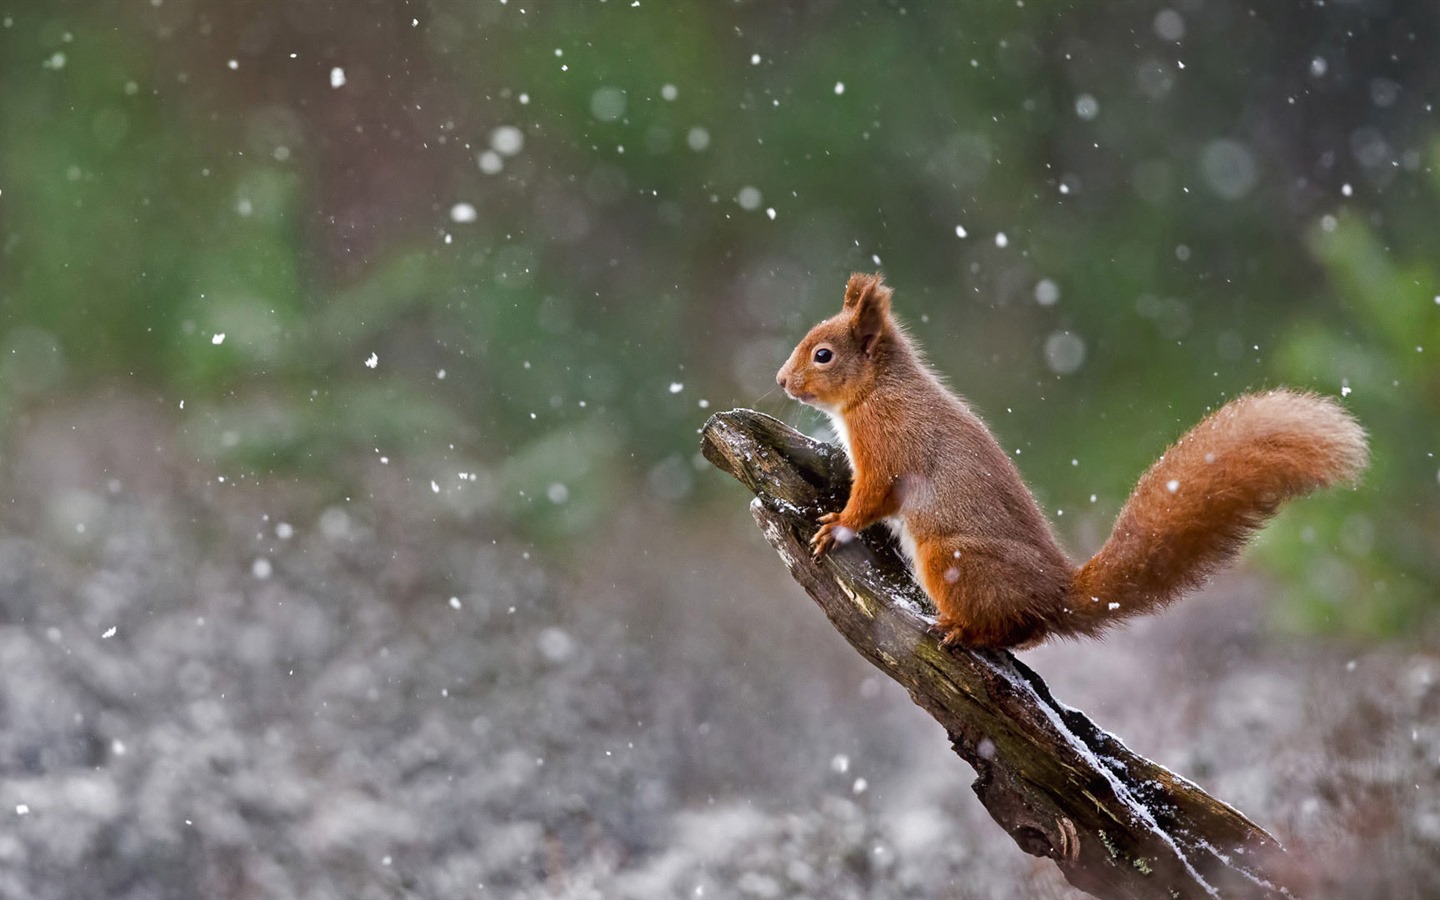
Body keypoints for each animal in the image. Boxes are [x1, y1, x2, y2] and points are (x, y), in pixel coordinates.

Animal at [777, 270, 1370, 648]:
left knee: (1013, 629)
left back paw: (965, 630)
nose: (781, 381)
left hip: (951, 557)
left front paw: (836, 525)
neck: (877, 390)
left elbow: (872, 495)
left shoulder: (887, 445)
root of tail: (1056, 593)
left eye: (823, 355)